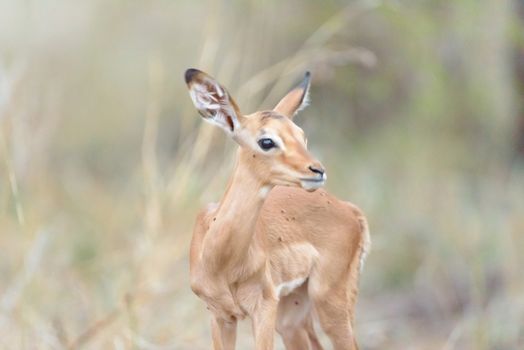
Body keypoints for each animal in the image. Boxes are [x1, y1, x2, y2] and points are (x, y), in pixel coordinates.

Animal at [186, 69, 370, 350]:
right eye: (266, 141)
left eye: (302, 136)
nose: (317, 170)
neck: (221, 259)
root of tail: (350, 210)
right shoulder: (220, 316)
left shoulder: (263, 309)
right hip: (292, 318)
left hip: (329, 306)